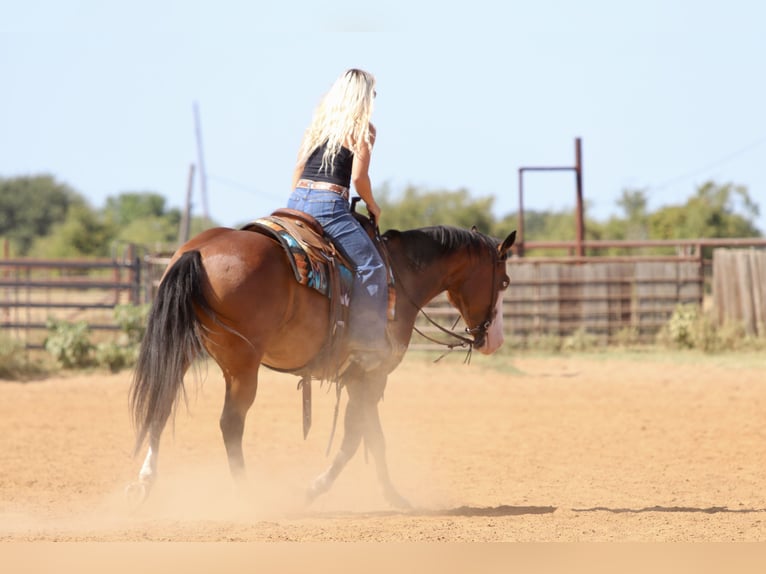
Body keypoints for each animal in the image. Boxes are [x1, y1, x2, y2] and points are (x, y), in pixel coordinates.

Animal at [128, 212, 516, 508]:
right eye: (506, 281)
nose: (493, 341)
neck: (400, 276)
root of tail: (199, 251)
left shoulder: (360, 376)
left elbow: (370, 436)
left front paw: (392, 495)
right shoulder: (371, 374)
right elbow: (357, 437)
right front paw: (317, 488)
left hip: (184, 350)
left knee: (160, 406)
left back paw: (145, 482)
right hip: (242, 365)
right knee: (230, 423)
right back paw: (246, 496)